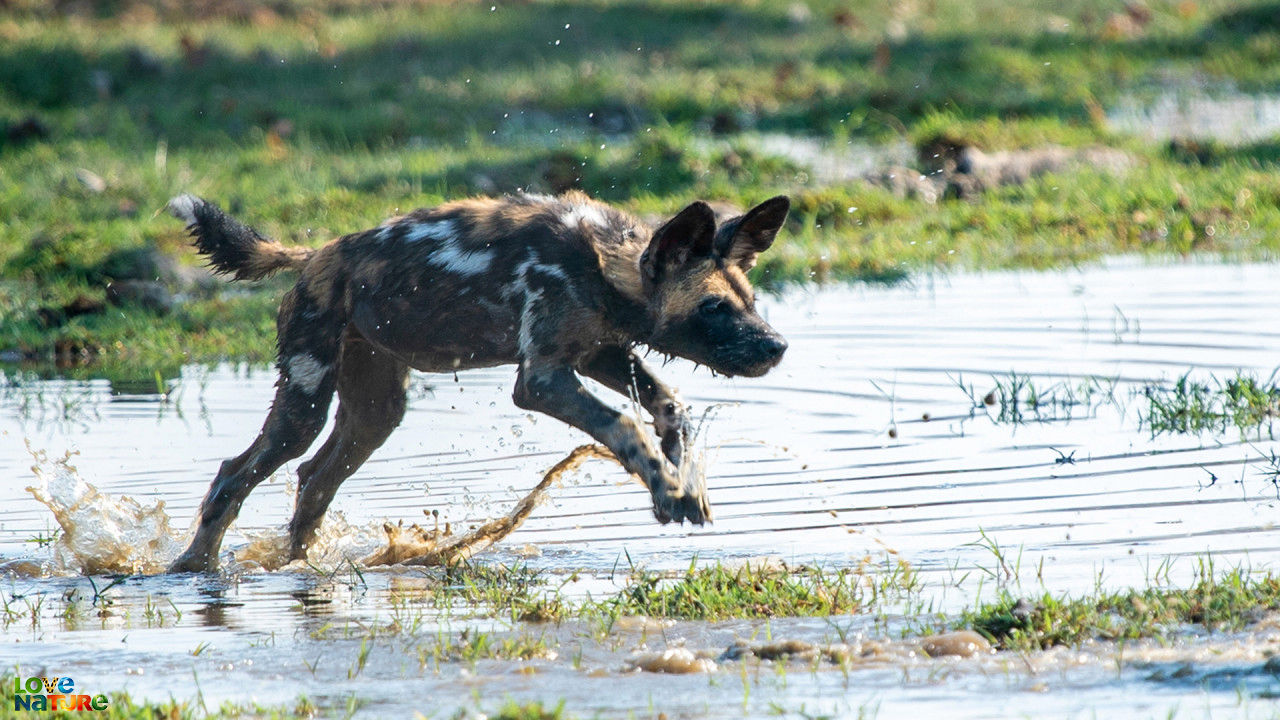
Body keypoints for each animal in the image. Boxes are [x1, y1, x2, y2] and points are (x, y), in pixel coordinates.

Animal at [165, 190, 788, 571]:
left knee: (315, 479)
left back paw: (299, 567)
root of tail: (316, 254)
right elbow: (624, 425)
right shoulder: (542, 379)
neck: (602, 263)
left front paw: (682, 483)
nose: (776, 347)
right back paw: (193, 568)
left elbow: (670, 407)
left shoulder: (598, 353)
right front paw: (669, 489)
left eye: (751, 301)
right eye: (712, 307)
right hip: (304, 404)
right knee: (236, 473)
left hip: (374, 414)